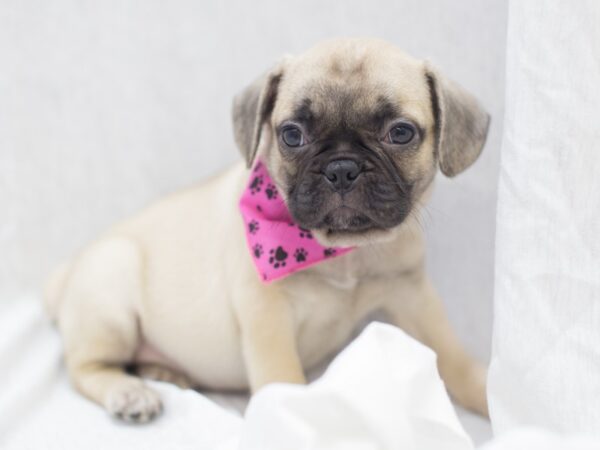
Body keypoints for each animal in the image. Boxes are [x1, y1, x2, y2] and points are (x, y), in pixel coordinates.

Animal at [44, 37, 490, 422]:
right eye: (292, 134)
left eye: (400, 132)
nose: (342, 168)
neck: (343, 253)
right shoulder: (267, 316)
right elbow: (282, 377)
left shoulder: (412, 294)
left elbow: (451, 354)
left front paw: (487, 392)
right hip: (111, 294)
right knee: (84, 368)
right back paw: (130, 392)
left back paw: (165, 372)